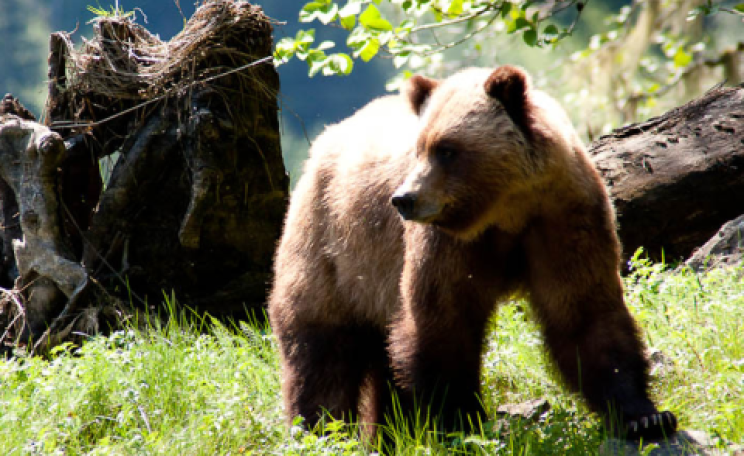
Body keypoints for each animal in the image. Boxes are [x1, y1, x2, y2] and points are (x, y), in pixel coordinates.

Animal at [268, 65, 677, 442]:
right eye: (419, 148)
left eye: (446, 150)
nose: (404, 199)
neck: (508, 209)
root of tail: (324, 142)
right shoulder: (448, 245)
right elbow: (443, 323)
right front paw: (461, 423)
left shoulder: (564, 218)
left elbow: (585, 313)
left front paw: (646, 417)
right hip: (331, 247)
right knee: (321, 352)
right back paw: (320, 430)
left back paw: (390, 433)